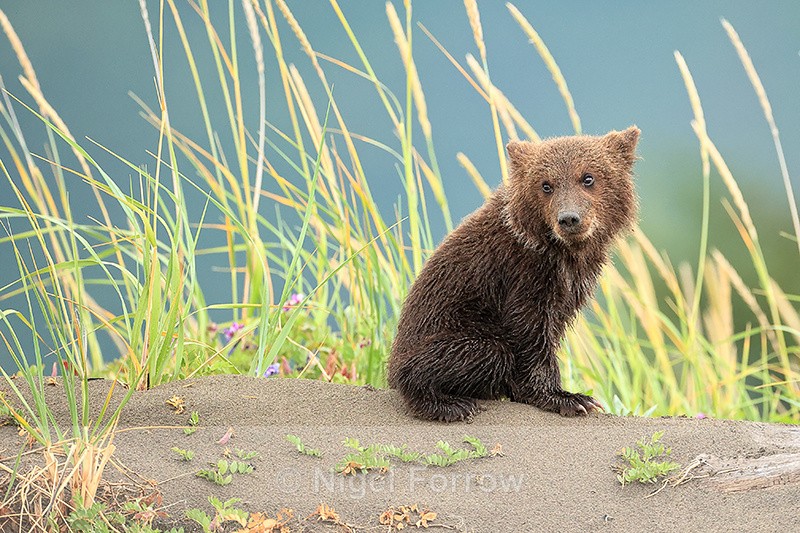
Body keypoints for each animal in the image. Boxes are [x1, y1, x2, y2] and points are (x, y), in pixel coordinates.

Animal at [387, 126, 640, 422]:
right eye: (546, 185)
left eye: (588, 177)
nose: (569, 219)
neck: (561, 252)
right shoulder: (523, 275)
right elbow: (530, 332)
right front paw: (570, 398)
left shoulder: (572, 282)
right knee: (491, 352)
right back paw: (449, 404)